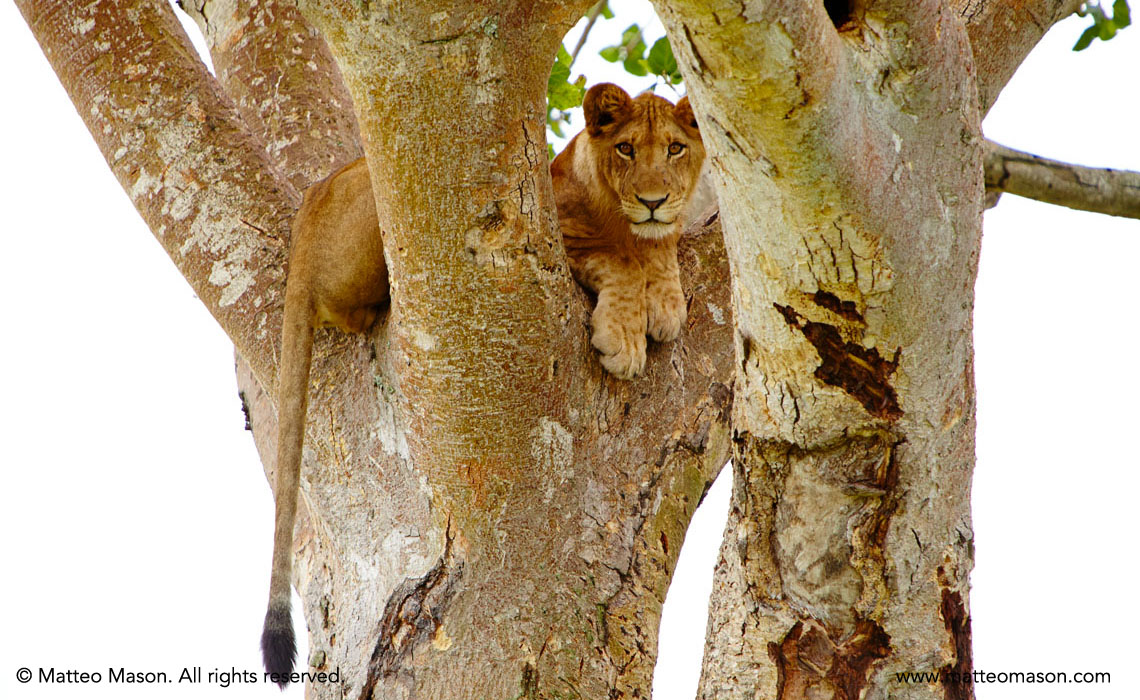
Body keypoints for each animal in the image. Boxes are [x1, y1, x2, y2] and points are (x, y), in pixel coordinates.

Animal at [551, 83, 706, 379]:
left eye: (675, 148)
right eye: (625, 148)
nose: (652, 202)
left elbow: (660, 246)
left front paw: (667, 306)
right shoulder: (563, 231)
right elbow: (623, 262)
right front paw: (624, 342)